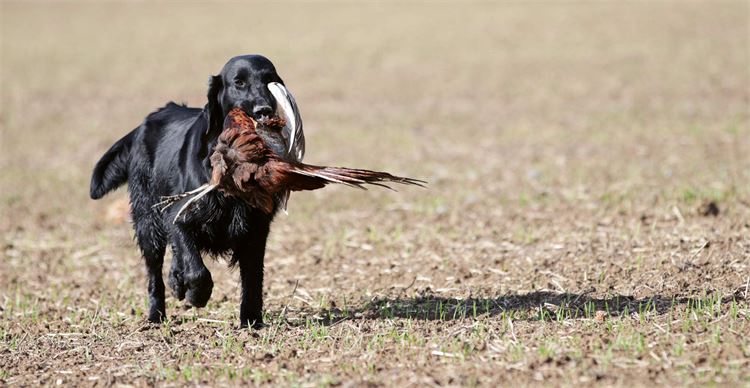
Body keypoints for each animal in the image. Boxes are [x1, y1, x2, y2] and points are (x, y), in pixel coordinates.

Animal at [92, 54, 292, 328]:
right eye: (238, 83)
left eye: (270, 80)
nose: (264, 111)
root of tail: (148, 120)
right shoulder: (178, 215)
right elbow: (197, 270)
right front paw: (197, 295)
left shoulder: (256, 228)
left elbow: (252, 279)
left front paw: (251, 322)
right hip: (147, 222)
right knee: (155, 273)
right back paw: (156, 315)